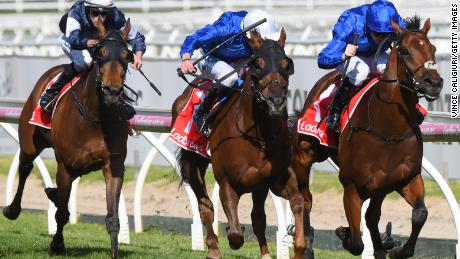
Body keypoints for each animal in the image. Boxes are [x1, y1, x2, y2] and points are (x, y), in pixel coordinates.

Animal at [2, 19, 135, 258]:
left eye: (126, 55)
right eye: (100, 52)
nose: (112, 91)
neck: (96, 116)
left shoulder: (114, 166)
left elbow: (112, 218)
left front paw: (114, 252)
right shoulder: (64, 165)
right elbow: (62, 214)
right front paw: (57, 245)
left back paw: (51, 193)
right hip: (30, 141)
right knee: (25, 167)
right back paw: (12, 209)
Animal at [172, 29, 306, 258]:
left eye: (286, 64)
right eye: (258, 64)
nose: (276, 102)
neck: (257, 134)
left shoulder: (274, 178)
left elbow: (297, 202)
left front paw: (298, 246)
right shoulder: (228, 182)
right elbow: (235, 233)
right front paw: (232, 237)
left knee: (258, 216)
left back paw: (265, 253)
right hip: (193, 162)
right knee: (205, 206)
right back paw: (213, 249)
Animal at [292, 17, 446, 258]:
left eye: (433, 48)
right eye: (405, 50)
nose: (434, 82)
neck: (389, 129)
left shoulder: (405, 178)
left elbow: (420, 213)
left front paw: (397, 249)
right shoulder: (351, 186)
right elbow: (356, 242)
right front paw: (344, 233)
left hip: (380, 187)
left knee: (372, 216)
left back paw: (383, 245)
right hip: (305, 154)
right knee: (305, 199)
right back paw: (306, 245)